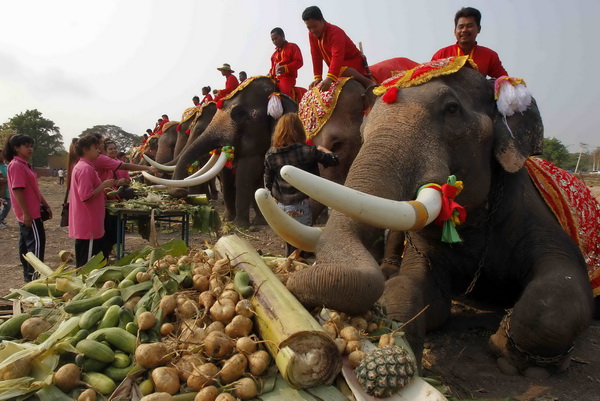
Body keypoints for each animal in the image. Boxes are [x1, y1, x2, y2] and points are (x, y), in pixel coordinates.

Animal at [278, 58, 596, 376]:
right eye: (363, 131)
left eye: (452, 109)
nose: (290, 280)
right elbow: (412, 292)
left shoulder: (532, 213)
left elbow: (560, 291)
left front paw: (507, 354)